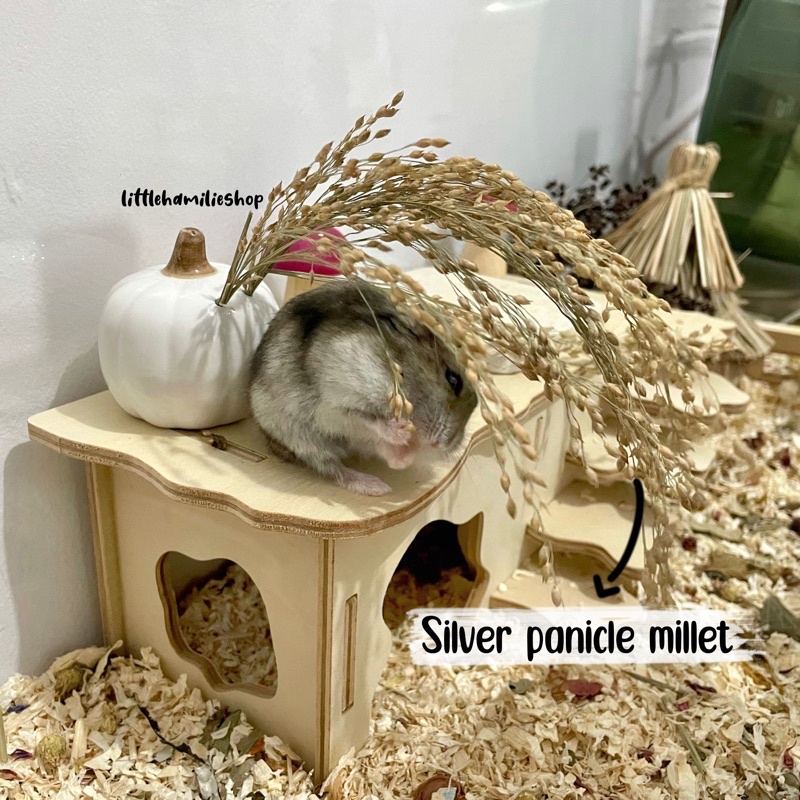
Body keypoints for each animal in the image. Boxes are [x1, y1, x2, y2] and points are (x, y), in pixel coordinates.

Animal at [248, 278, 478, 496]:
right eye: (453, 380)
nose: (442, 445)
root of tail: (273, 445)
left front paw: (408, 442)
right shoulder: (335, 402)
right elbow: (365, 417)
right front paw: (402, 430)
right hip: (298, 437)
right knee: (333, 469)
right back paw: (378, 487)